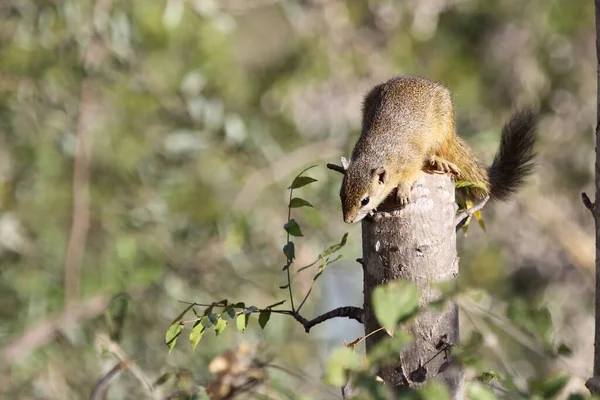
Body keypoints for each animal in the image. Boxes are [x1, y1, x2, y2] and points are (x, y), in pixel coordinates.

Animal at [338, 76, 540, 223]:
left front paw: (403, 190)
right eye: (341, 194)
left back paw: (438, 160)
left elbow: (411, 174)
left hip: (442, 129)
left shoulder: (411, 158)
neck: (376, 154)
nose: (348, 220)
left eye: (365, 200)